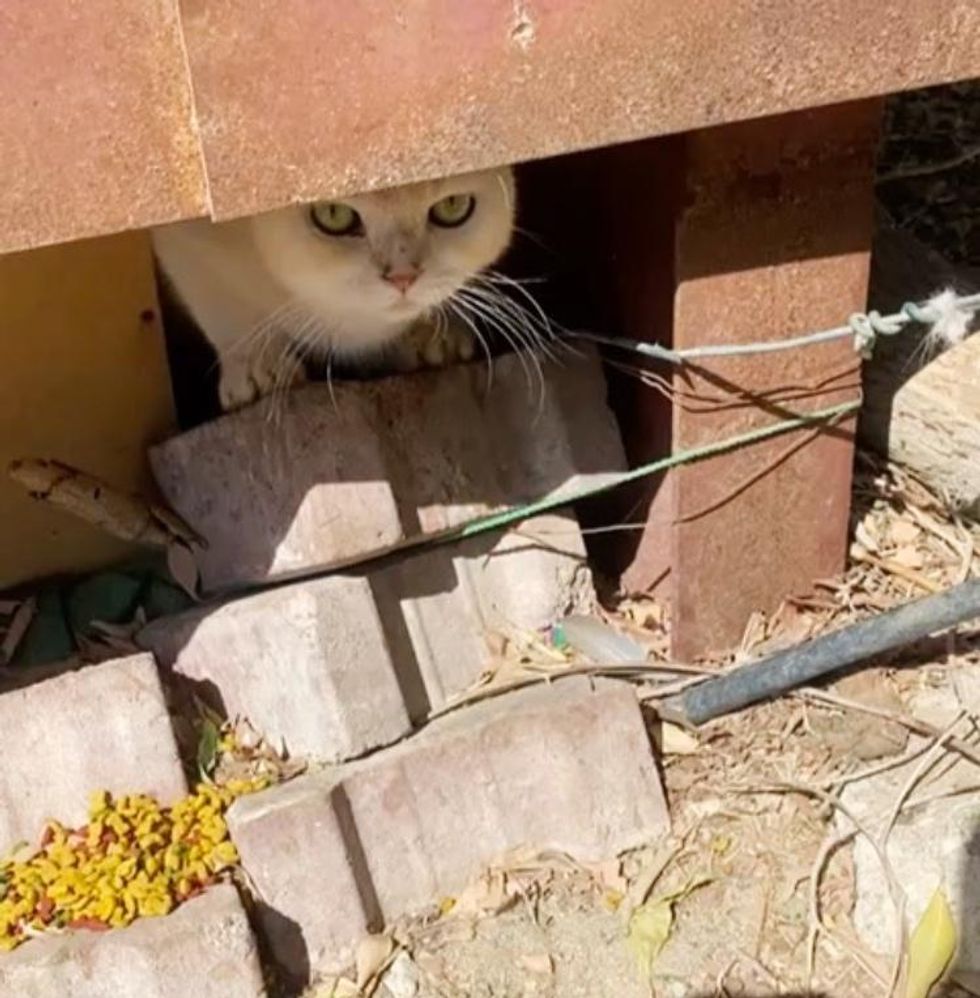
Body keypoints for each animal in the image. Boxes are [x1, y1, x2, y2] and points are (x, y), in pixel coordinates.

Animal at [150, 168, 516, 410]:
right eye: (333, 214)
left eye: (453, 206)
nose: (402, 277)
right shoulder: (189, 241)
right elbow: (222, 308)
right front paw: (257, 366)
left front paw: (432, 333)